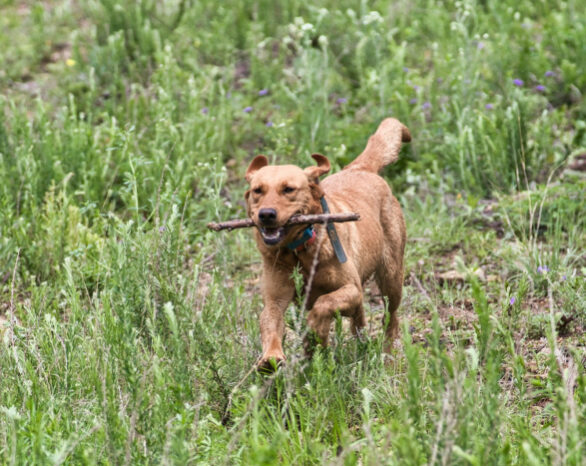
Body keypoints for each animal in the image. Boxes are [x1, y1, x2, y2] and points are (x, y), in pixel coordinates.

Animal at [244, 118, 408, 370]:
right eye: (257, 191)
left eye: (289, 189)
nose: (266, 214)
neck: (299, 252)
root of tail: (359, 169)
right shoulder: (275, 298)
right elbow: (269, 321)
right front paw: (272, 356)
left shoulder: (351, 289)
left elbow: (324, 302)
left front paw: (316, 331)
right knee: (359, 319)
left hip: (391, 277)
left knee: (391, 318)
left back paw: (388, 355)